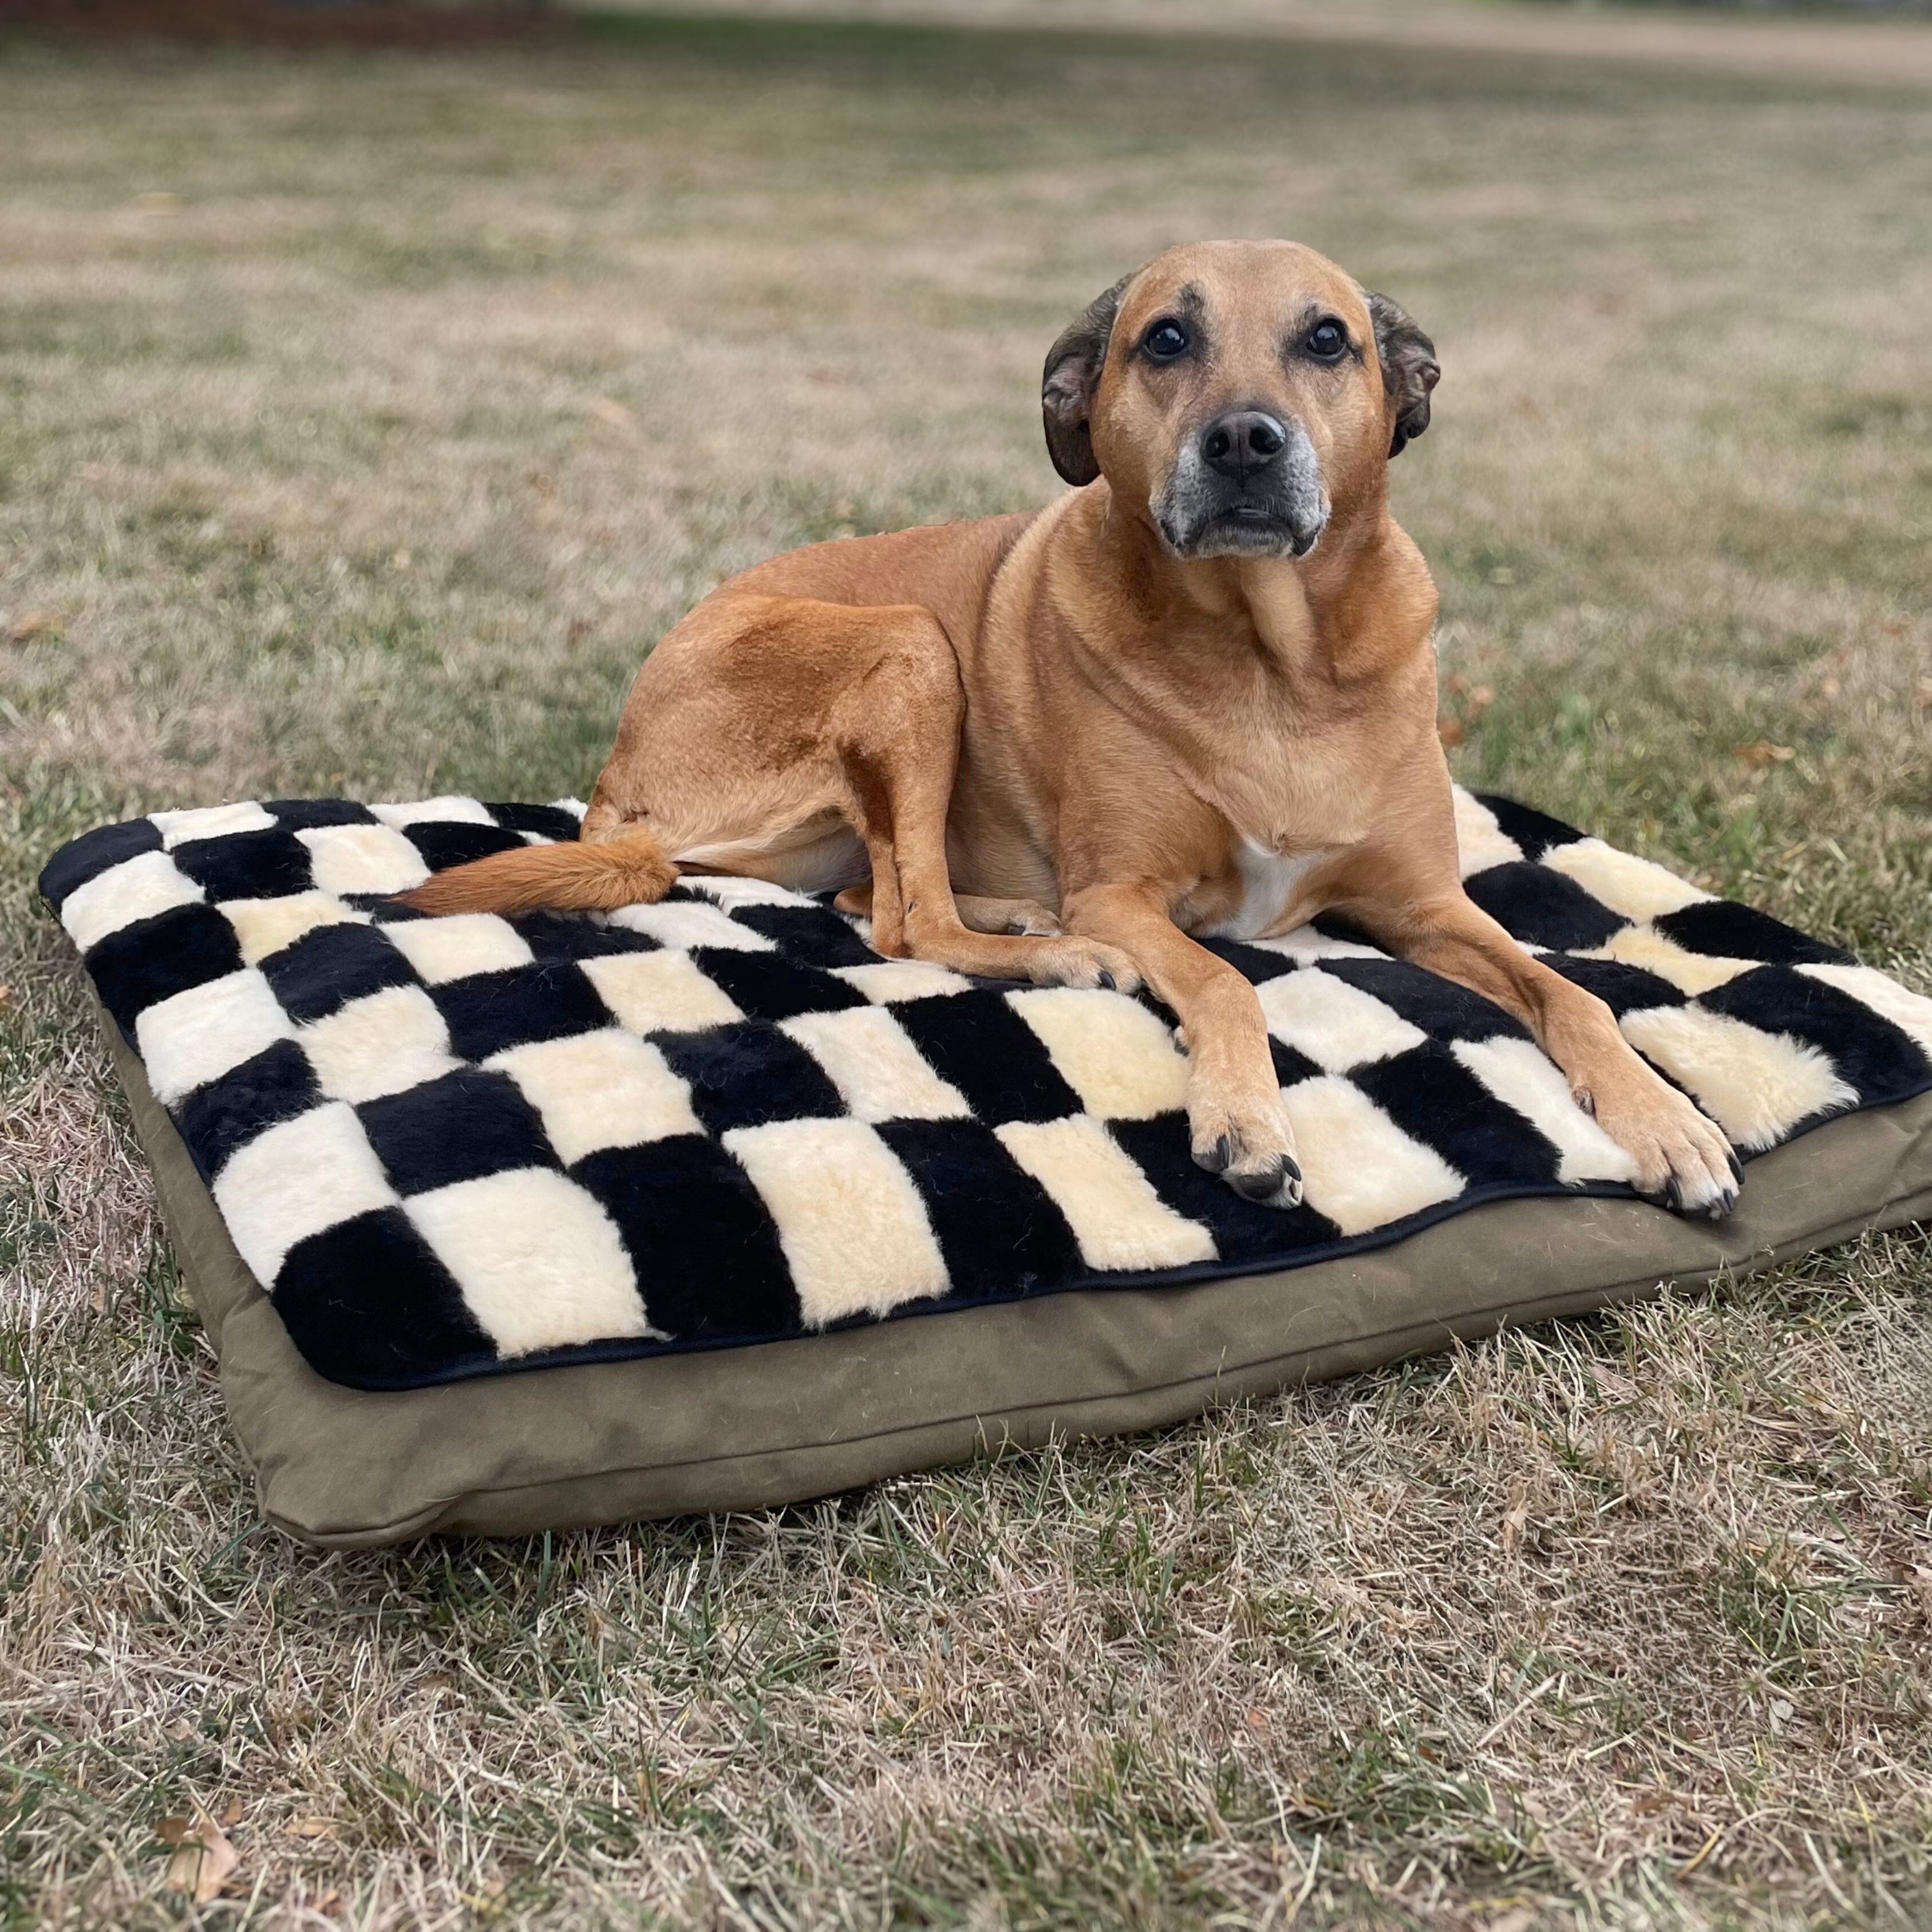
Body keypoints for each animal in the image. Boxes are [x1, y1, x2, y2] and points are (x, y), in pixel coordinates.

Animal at [404, 238, 1739, 1206]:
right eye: (1165, 338)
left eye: (1328, 339)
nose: (1244, 440)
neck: (1272, 661)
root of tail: (614, 789)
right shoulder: (1128, 893)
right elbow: (1225, 981)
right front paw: (1246, 1120)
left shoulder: (1424, 907)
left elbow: (1569, 993)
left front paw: (1666, 1118)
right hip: (909, 646)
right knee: (903, 922)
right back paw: (1050, 949)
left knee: (879, 893)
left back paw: (1018, 916)